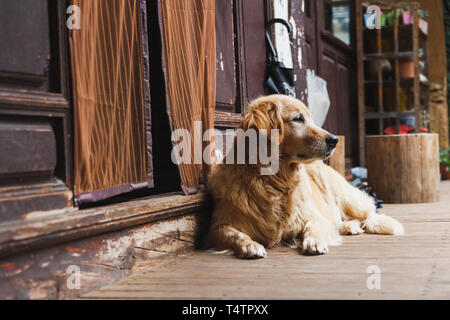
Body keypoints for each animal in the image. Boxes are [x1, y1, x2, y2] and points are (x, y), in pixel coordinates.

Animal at [207, 94, 404, 258]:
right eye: (298, 118)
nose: (334, 140)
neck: (273, 181)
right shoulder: (217, 226)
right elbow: (232, 233)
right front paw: (250, 245)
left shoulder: (313, 215)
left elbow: (314, 226)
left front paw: (314, 241)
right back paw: (348, 226)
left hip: (346, 198)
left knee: (369, 212)